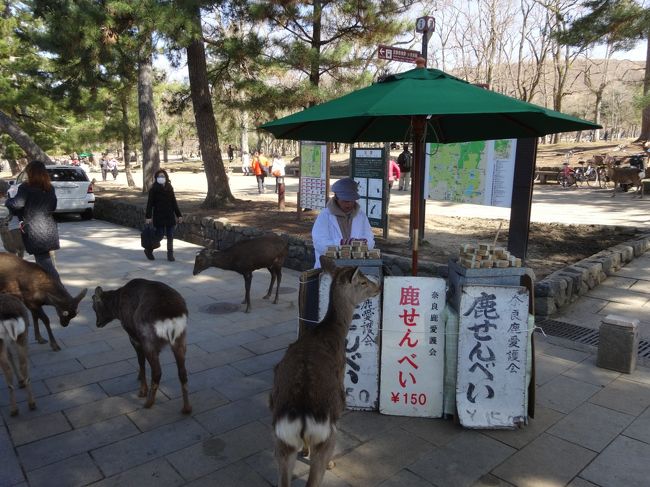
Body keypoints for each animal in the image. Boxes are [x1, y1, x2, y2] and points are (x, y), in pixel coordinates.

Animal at [91, 278, 192, 414]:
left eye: (94, 307)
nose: (97, 324)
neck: (117, 307)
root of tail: (171, 315)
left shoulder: (134, 336)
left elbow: (141, 362)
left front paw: (142, 390)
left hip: (148, 339)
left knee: (157, 371)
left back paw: (148, 402)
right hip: (180, 339)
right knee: (182, 372)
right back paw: (186, 408)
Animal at [269, 256, 381, 487]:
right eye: (363, 282)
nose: (379, 287)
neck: (332, 332)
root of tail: (301, 414)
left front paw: (304, 451)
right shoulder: (342, 373)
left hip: (281, 441)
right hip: (327, 435)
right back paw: (330, 463)